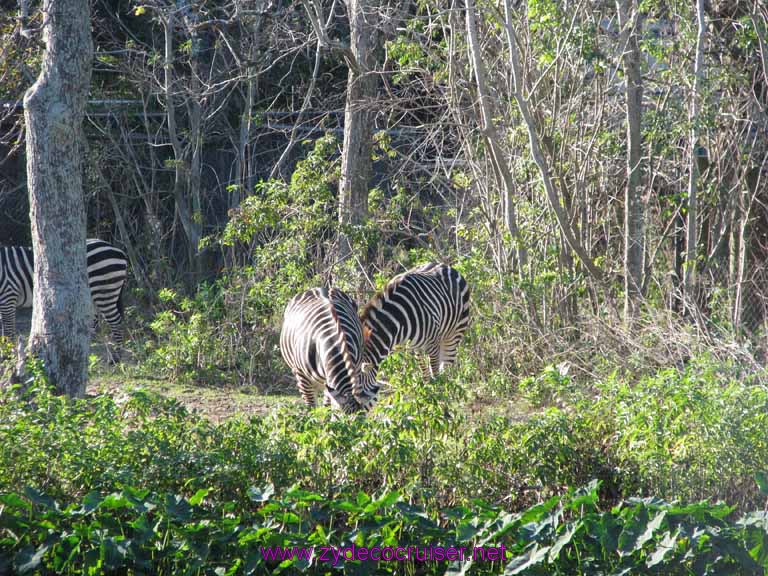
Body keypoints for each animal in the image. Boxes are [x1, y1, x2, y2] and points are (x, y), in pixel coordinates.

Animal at [0, 236, 129, 354]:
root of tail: (118, 250)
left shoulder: (8, 295)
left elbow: (8, 331)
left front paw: (8, 353)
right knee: (95, 319)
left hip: (104, 289)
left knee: (116, 320)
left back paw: (116, 356)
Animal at [356, 264, 474, 408]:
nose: (350, 412)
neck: (398, 320)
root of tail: (446, 266)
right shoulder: (412, 346)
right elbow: (425, 374)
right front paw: (427, 399)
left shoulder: (432, 343)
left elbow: (435, 374)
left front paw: (438, 399)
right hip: (421, 346)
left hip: (454, 333)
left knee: (446, 367)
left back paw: (447, 395)